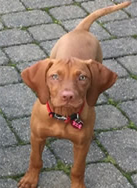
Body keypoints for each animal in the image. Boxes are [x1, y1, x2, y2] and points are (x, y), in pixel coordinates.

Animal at [17, 1, 131, 188]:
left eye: (82, 77)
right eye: (54, 76)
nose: (68, 96)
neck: (62, 116)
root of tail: (81, 29)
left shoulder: (81, 145)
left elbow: (77, 169)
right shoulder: (37, 136)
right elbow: (35, 160)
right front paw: (30, 179)